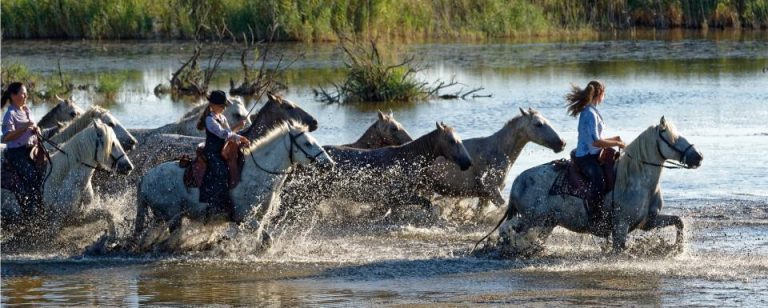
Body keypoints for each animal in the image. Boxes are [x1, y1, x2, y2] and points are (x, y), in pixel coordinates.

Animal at [1, 119, 135, 235]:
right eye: (112, 144)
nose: (129, 166)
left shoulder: (78, 215)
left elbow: (107, 213)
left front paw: (113, 236)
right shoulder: (57, 219)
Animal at [134, 122, 336, 245]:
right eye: (308, 143)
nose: (330, 164)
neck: (257, 174)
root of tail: (145, 178)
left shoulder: (259, 218)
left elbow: (266, 241)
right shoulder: (245, 217)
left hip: (161, 218)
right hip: (172, 217)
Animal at [476, 116, 704, 254]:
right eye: (672, 138)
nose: (698, 156)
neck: (637, 180)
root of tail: (518, 182)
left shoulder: (648, 221)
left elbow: (679, 221)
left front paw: (677, 249)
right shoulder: (621, 226)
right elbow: (619, 250)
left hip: (546, 222)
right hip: (532, 218)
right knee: (506, 229)